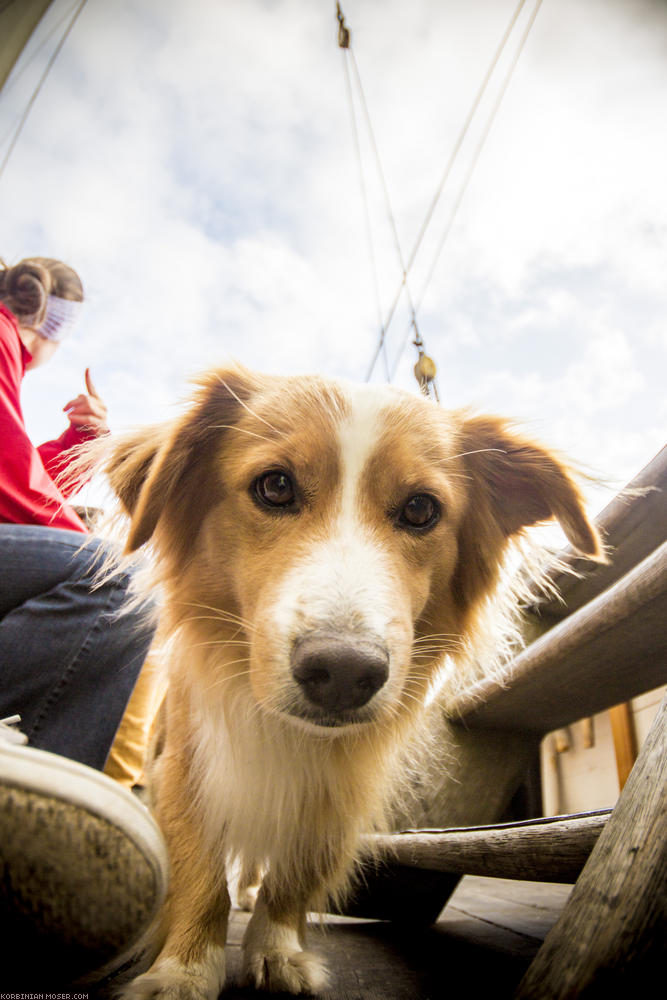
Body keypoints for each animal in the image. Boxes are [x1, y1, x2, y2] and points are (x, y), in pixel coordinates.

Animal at [100, 364, 604, 996]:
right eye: (275, 487)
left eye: (420, 509)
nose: (343, 673)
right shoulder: (185, 764)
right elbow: (201, 871)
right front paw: (184, 967)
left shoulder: (338, 788)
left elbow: (295, 874)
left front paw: (279, 950)